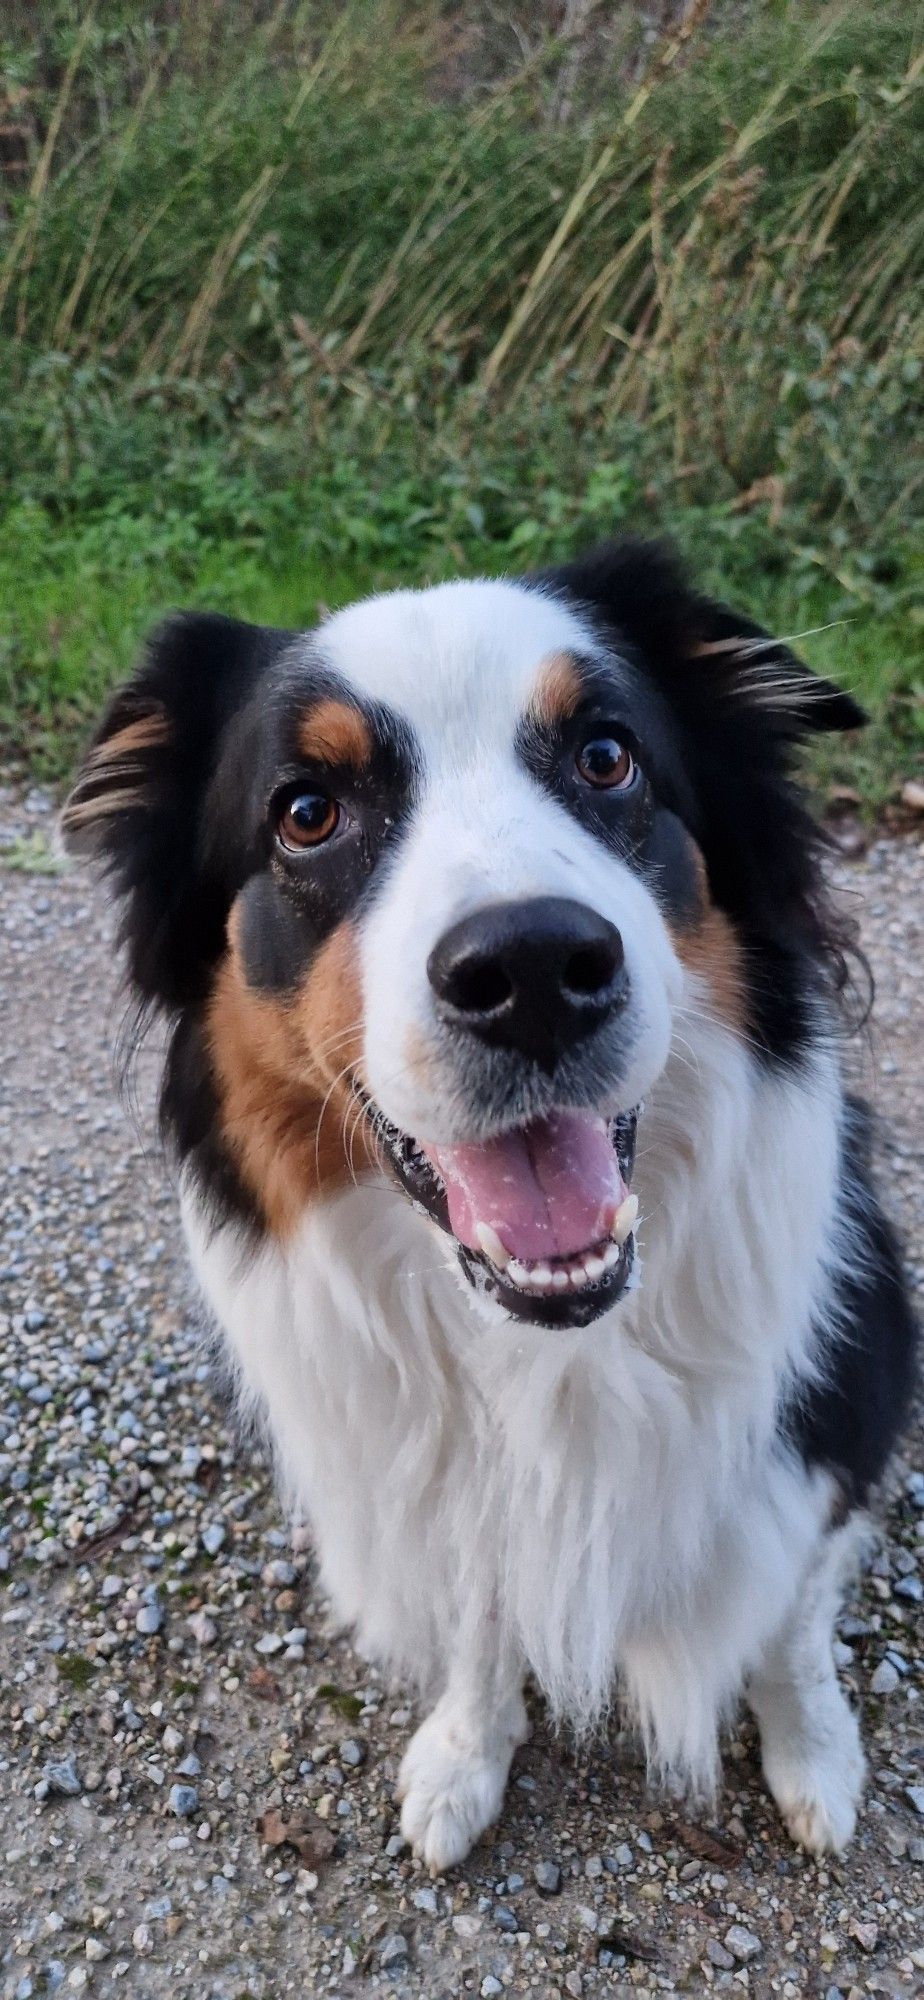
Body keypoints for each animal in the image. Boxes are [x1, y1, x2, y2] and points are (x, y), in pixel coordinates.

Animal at [65, 540, 916, 1864]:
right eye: (306, 811)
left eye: (607, 755)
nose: (532, 970)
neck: (546, 1348)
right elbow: (476, 1608)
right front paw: (465, 1753)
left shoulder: (835, 1421)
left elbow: (791, 1615)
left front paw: (814, 1746)